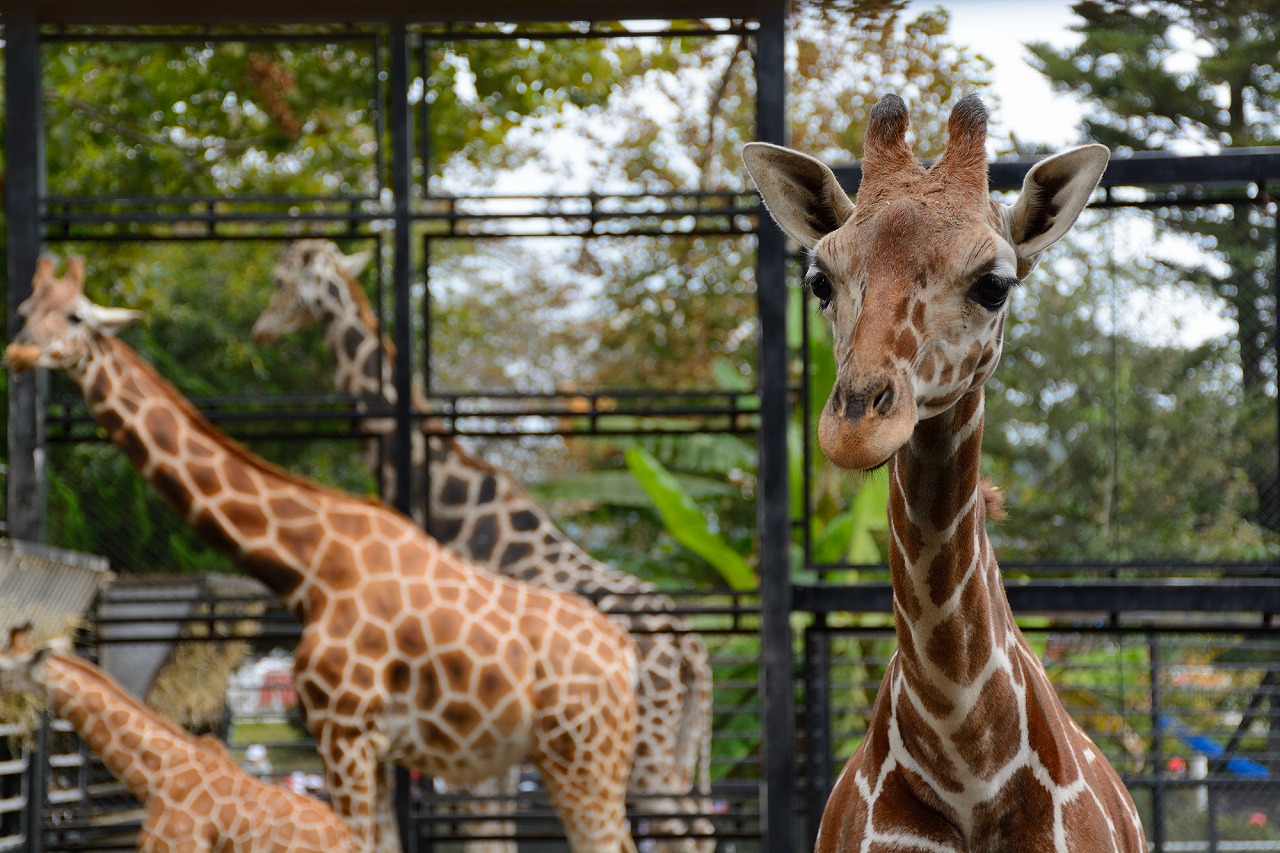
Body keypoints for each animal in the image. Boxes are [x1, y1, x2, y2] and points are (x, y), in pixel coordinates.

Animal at [249, 239, 711, 850]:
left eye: (279, 281)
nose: (260, 330)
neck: (457, 517)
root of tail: (689, 647)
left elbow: (483, 832)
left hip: (643, 747)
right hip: (672, 739)